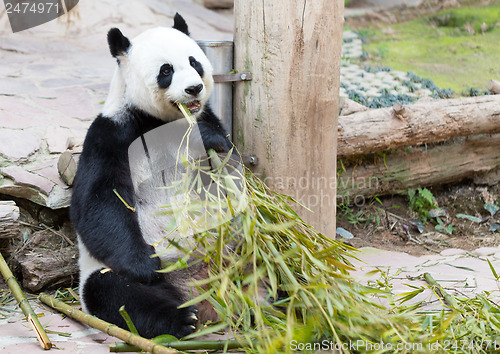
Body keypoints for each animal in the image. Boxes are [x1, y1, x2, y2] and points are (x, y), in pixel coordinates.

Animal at [70, 13, 232, 338]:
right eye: (166, 70)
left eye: (194, 62)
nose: (194, 88)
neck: (161, 122)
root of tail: (202, 294)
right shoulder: (112, 135)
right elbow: (99, 202)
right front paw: (146, 263)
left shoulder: (208, 121)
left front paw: (210, 140)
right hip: (108, 274)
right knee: (119, 294)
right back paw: (182, 318)